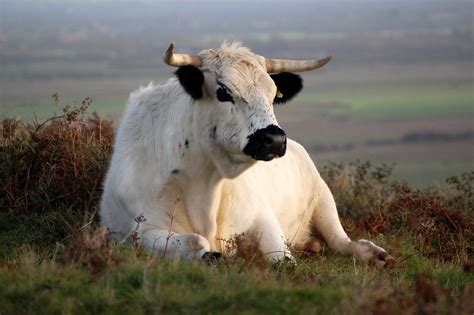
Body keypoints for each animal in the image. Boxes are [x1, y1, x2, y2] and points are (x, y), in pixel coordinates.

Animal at [98, 40, 390, 266]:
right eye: (223, 92)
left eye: (273, 94)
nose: (274, 139)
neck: (205, 182)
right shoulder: (139, 230)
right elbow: (195, 243)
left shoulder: (261, 215)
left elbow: (281, 257)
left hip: (323, 199)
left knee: (340, 240)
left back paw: (374, 254)